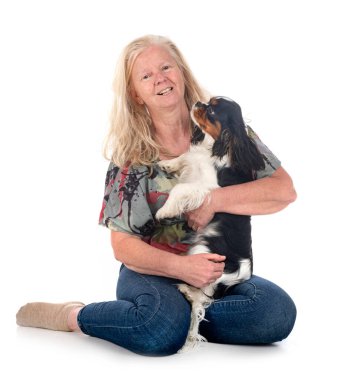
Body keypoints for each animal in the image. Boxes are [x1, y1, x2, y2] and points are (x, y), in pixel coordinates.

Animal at [156, 96, 266, 352]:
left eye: (213, 111)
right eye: (208, 101)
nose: (198, 102)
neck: (215, 147)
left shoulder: (207, 188)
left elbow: (180, 189)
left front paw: (164, 211)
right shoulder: (194, 162)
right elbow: (184, 157)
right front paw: (167, 163)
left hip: (203, 252)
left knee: (202, 296)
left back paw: (186, 289)